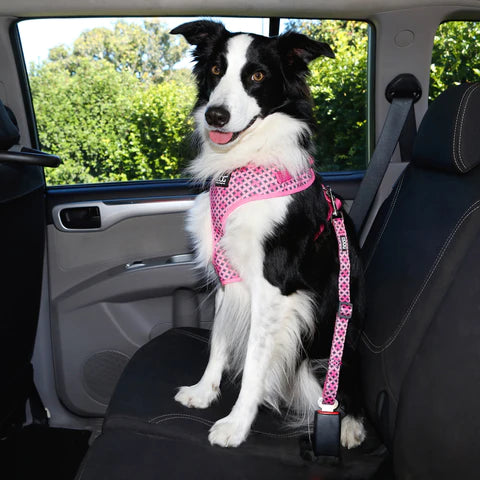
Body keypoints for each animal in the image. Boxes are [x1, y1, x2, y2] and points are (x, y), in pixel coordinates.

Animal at [171, 19, 366, 450]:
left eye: (257, 76)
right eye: (216, 69)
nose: (216, 116)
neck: (241, 165)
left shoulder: (274, 288)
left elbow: (255, 363)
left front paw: (236, 424)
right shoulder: (229, 278)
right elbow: (219, 338)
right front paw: (204, 391)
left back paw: (347, 425)